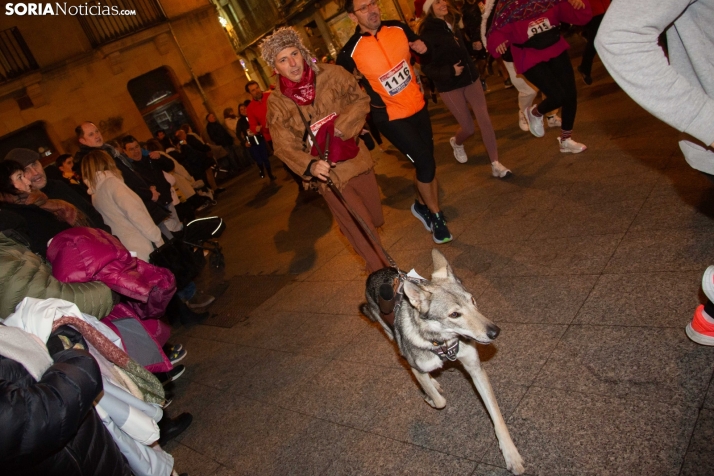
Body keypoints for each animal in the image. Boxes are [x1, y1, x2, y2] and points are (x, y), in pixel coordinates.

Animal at [362, 251, 524, 474]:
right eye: (454, 314)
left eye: (473, 300)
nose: (495, 332)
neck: (443, 342)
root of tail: (375, 273)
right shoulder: (417, 368)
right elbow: (439, 401)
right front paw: (430, 397)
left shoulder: (476, 369)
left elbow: (497, 418)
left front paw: (511, 455)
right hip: (392, 336)